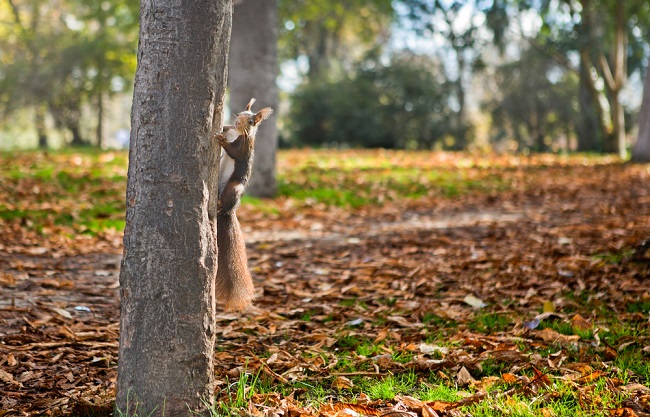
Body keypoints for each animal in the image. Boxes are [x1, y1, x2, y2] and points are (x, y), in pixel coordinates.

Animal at [214, 99, 272, 310]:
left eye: (251, 121)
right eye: (238, 114)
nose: (238, 122)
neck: (237, 133)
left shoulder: (245, 146)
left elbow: (235, 152)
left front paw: (222, 142)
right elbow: (225, 128)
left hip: (234, 187)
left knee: (230, 200)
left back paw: (221, 206)